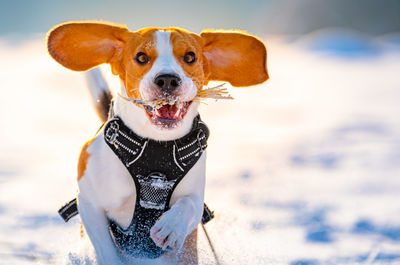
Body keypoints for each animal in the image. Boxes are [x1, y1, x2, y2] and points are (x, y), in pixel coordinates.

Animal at [46, 21, 268, 264]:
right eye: (142, 57)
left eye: (190, 57)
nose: (168, 79)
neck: (156, 145)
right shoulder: (89, 201)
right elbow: (105, 248)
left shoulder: (196, 194)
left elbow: (189, 204)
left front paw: (172, 226)